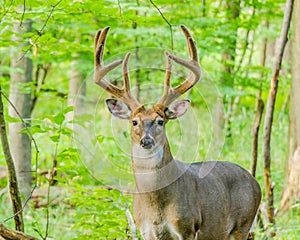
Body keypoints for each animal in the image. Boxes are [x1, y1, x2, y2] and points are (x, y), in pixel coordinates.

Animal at [94, 25, 260, 239]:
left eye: (160, 121)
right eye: (134, 122)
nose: (146, 141)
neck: (156, 208)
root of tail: (255, 182)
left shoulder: (187, 226)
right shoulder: (145, 229)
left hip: (243, 225)